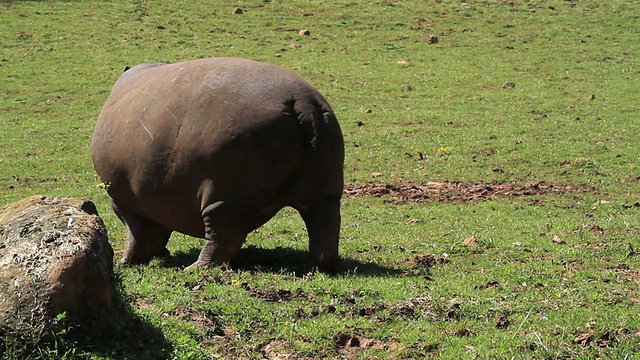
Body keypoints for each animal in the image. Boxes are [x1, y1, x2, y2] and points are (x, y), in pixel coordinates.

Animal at [90, 57, 344, 272]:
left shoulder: (124, 202)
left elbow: (137, 235)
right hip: (325, 192)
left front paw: (125, 263)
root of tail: (302, 102)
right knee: (324, 227)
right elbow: (155, 233)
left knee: (223, 237)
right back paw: (313, 268)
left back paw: (195, 268)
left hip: (223, 197)